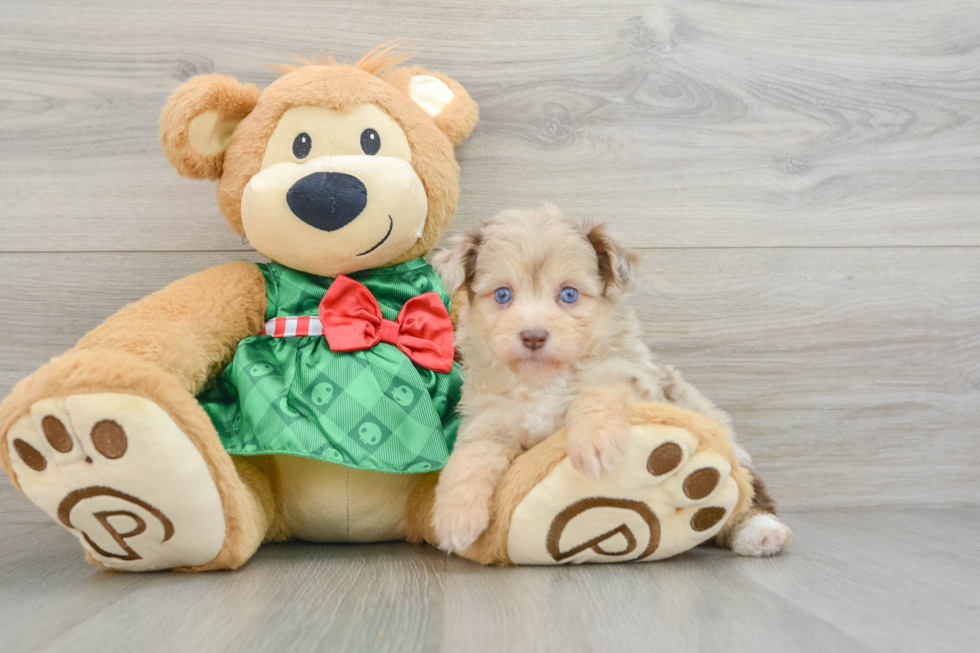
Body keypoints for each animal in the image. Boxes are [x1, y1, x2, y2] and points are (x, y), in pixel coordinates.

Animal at [428, 204, 788, 556]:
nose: (533, 336)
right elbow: (471, 456)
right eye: (502, 295)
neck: (543, 379)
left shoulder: (630, 374)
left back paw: (761, 531)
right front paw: (455, 517)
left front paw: (594, 442)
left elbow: (599, 389)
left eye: (569, 294)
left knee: (747, 493)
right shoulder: (488, 417)